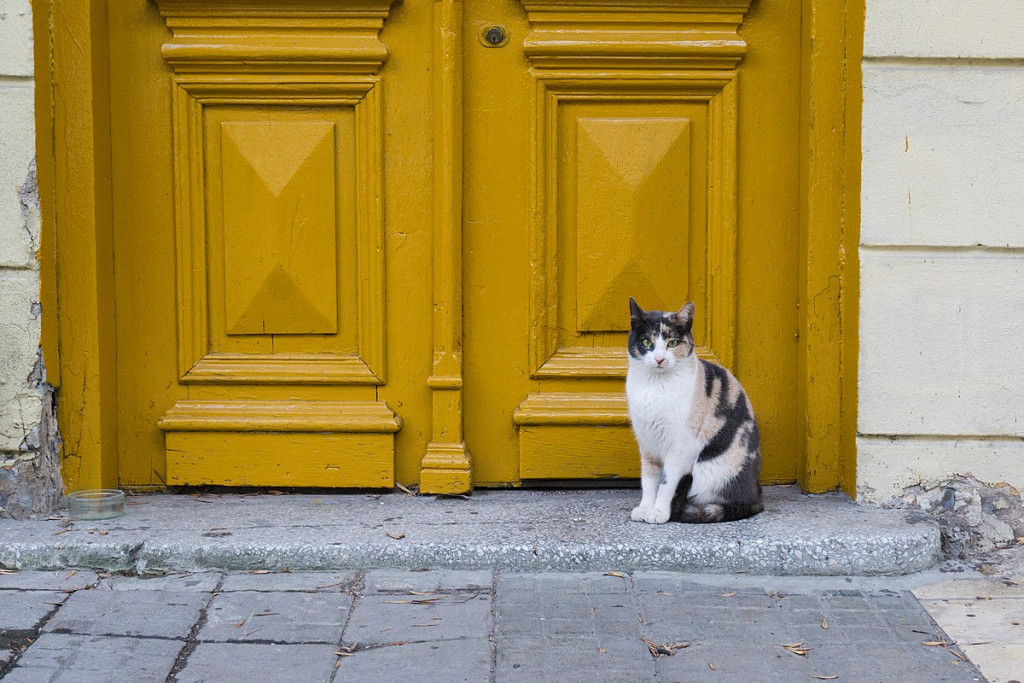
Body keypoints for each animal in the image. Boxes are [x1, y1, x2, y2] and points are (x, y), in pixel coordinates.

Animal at [622, 296, 761, 528]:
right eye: (647, 342)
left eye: (673, 343)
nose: (659, 359)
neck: (655, 386)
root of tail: (756, 494)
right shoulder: (647, 443)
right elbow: (649, 480)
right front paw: (644, 508)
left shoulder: (681, 447)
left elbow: (666, 483)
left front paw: (658, 512)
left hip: (709, 471)